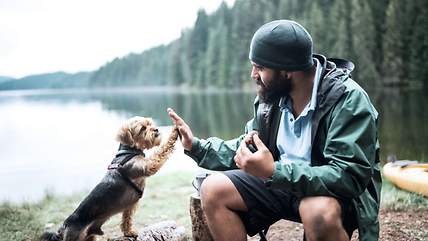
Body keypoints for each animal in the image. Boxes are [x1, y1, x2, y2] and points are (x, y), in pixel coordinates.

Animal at [40, 116, 179, 241]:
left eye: (150, 123)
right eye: (142, 128)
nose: (156, 129)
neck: (129, 151)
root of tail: (63, 227)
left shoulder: (129, 206)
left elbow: (126, 220)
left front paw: (129, 232)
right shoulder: (148, 166)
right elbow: (162, 151)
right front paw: (175, 131)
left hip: (89, 237)